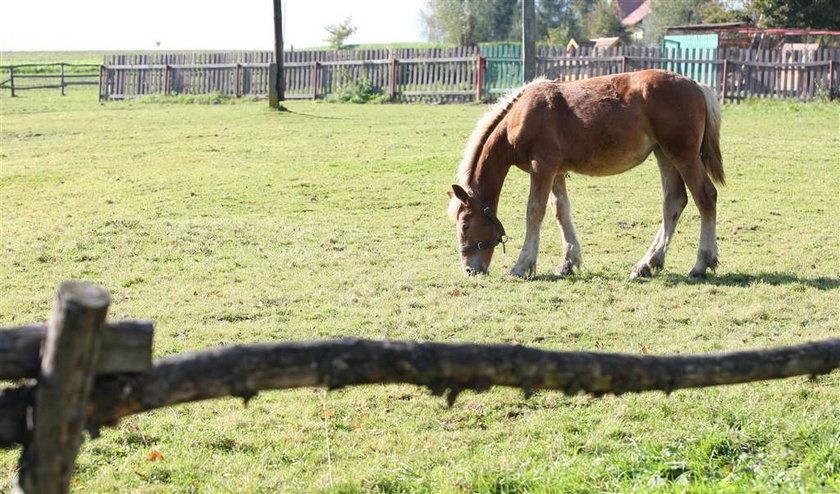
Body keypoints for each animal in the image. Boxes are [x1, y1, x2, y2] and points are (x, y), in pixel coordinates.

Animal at [446, 68, 720, 278]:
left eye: (466, 225)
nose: (470, 270)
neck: (520, 116)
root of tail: (697, 86)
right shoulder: (556, 172)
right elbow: (561, 211)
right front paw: (567, 263)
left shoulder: (542, 168)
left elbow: (534, 212)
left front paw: (522, 266)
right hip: (664, 154)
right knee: (674, 202)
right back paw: (648, 263)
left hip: (683, 156)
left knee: (705, 197)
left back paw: (701, 264)